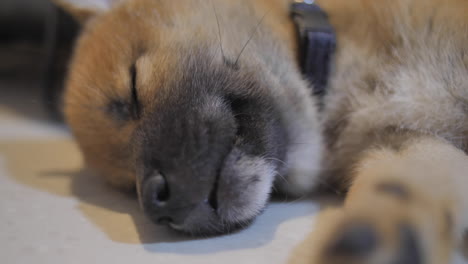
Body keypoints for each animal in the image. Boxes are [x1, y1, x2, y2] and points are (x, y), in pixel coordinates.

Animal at [55, 0, 468, 262]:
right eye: (127, 185)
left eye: (133, 87)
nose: (158, 204)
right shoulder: (400, 144)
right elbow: (399, 192)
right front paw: (376, 241)